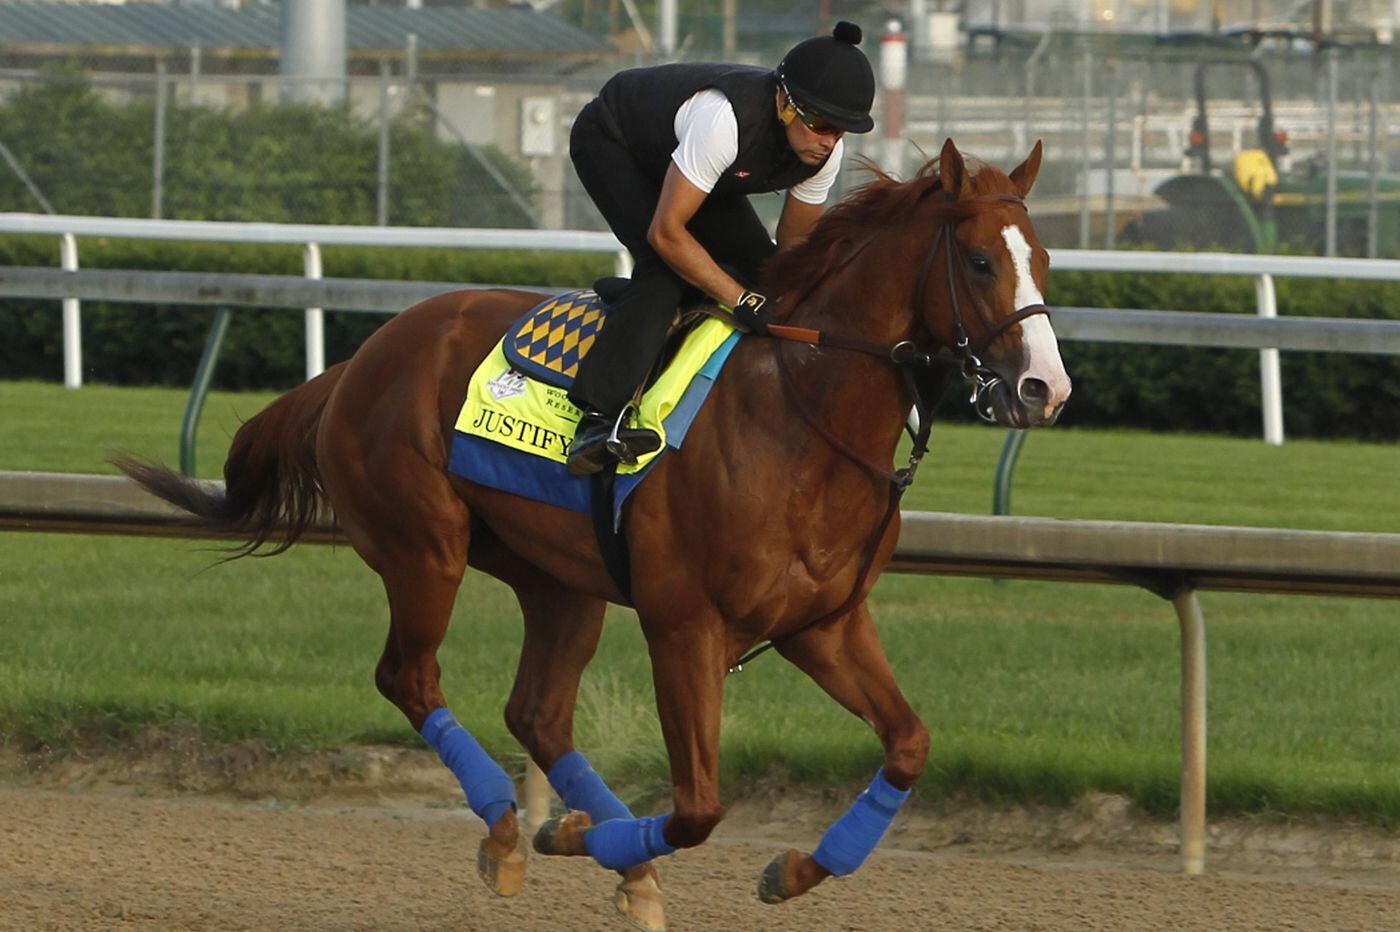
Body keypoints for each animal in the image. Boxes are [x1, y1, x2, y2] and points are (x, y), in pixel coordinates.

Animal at [114, 137, 1069, 923]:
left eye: (1046, 261)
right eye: (980, 260)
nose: (1045, 390)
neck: (798, 418)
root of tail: (358, 359)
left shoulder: (823, 625)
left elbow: (908, 746)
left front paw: (789, 870)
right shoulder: (684, 625)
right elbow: (697, 807)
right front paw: (572, 839)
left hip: (557, 580)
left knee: (537, 712)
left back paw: (616, 866)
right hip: (424, 549)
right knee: (410, 678)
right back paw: (512, 832)